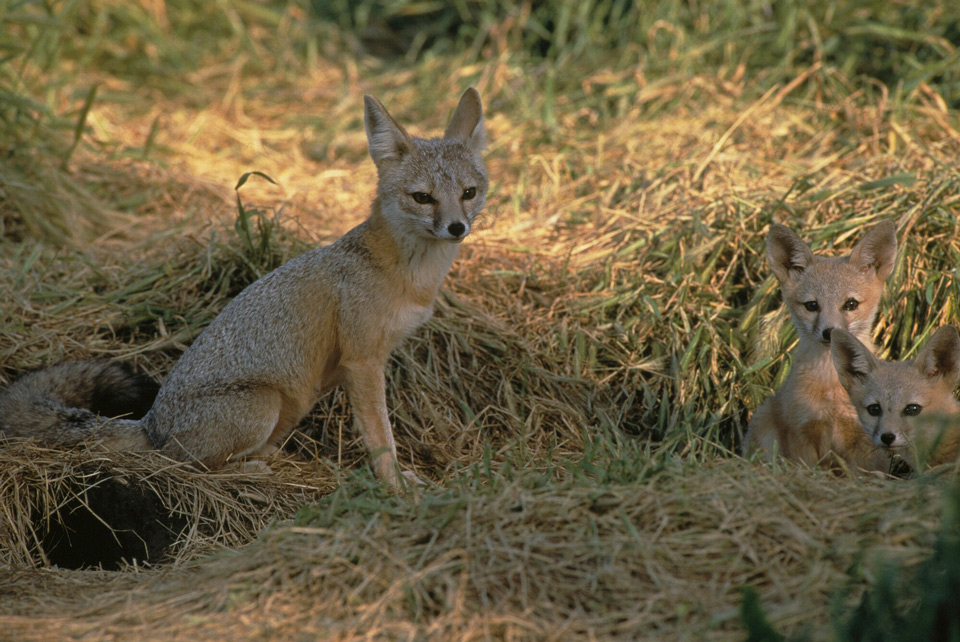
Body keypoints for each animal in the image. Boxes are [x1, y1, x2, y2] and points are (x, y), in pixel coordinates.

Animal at [0, 86, 492, 484]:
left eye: (468, 193)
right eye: (422, 197)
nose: (456, 228)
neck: (408, 274)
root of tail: (153, 424)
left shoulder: (369, 360)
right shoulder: (363, 361)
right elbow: (380, 436)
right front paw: (394, 486)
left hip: (290, 408)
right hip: (264, 405)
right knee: (187, 466)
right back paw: (248, 470)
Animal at [744, 220, 900, 470]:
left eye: (851, 304)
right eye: (812, 305)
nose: (830, 332)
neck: (832, 388)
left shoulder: (864, 443)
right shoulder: (802, 433)